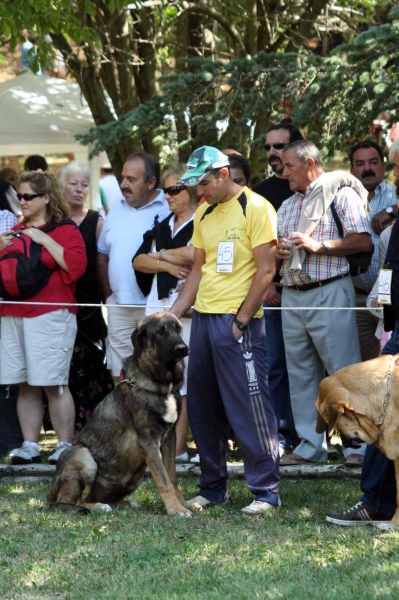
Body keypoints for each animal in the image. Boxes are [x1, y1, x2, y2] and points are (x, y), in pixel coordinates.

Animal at [47, 314, 195, 516]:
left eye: (178, 328)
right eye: (160, 331)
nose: (182, 348)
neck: (162, 384)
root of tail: (49, 497)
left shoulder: (169, 438)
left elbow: (171, 477)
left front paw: (183, 504)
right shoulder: (148, 441)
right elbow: (163, 480)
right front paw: (176, 509)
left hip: (137, 471)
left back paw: (125, 503)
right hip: (82, 456)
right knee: (73, 501)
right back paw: (98, 506)